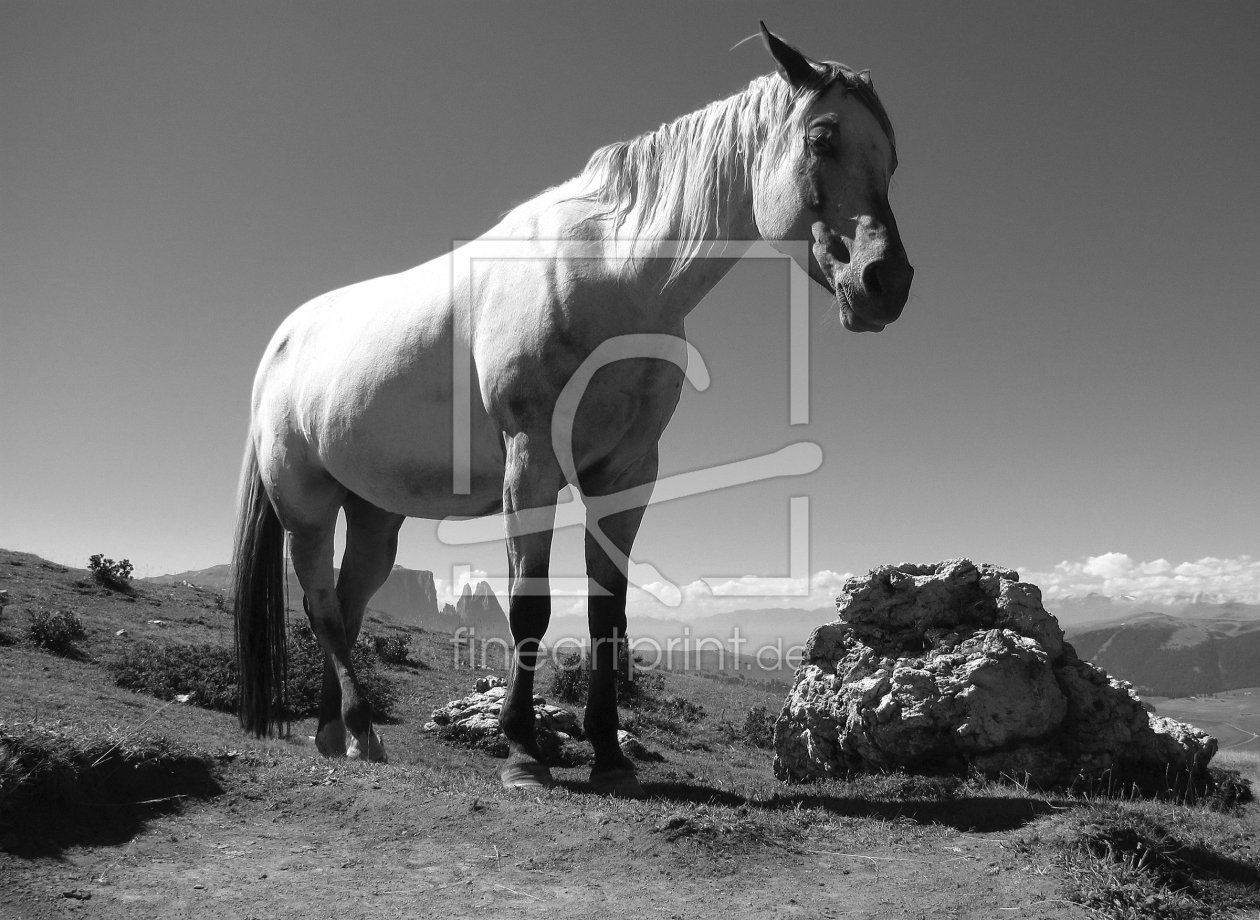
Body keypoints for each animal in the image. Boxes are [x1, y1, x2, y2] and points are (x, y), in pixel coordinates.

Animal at [231, 23, 912, 796]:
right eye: (823, 138)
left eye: (891, 157)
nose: (886, 282)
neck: (612, 274)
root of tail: (279, 346)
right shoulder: (531, 463)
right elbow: (530, 605)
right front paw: (523, 752)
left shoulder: (626, 475)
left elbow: (606, 614)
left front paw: (610, 755)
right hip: (307, 505)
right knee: (320, 604)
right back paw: (361, 730)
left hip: (374, 514)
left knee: (347, 605)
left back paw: (335, 734)